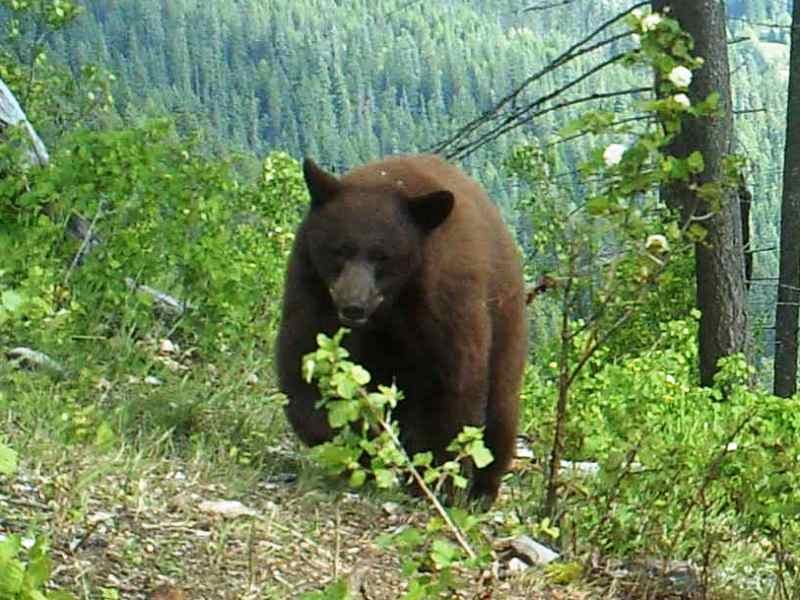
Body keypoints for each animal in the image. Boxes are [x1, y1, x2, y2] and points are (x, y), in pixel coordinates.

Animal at [278, 155, 528, 502]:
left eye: (382, 256)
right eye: (339, 249)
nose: (353, 304)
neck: (390, 308)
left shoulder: (445, 298)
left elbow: (452, 384)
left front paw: (438, 481)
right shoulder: (312, 283)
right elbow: (308, 355)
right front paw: (348, 448)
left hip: (506, 324)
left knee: (500, 408)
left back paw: (482, 491)